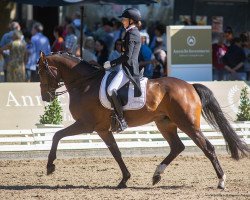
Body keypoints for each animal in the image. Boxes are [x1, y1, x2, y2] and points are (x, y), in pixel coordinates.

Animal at [37, 51, 250, 189]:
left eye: (41, 72)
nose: (45, 97)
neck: (85, 84)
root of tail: (190, 86)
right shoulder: (102, 129)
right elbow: (116, 153)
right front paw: (124, 180)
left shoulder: (86, 124)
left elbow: (56, 135)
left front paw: (50, 166)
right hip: (165, 123)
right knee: (177, 147)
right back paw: (156, 175)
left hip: (187, 124)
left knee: (208, 148)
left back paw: (221, 181)